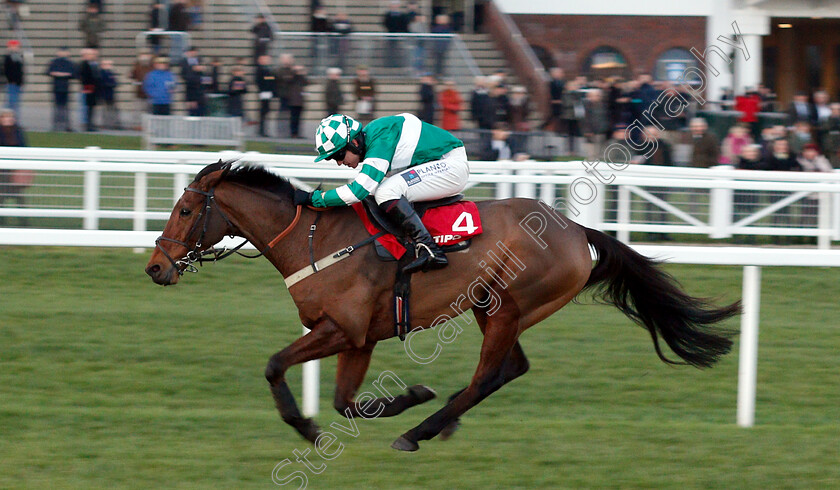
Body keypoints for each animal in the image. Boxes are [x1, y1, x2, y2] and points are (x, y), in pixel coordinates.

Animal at [148, 161, 740, 452]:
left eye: (185, 210)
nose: (155, 267)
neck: (313, 240)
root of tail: (577, 231)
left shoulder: (341, 329)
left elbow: (275, 365)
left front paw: (310, 428)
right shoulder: (359, 336)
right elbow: (344, 402)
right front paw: (404, 397)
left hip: (506, 307)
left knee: (489, 376)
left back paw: (419, 432)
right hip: (493, 307)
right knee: (510, 368)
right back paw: (440, 421)